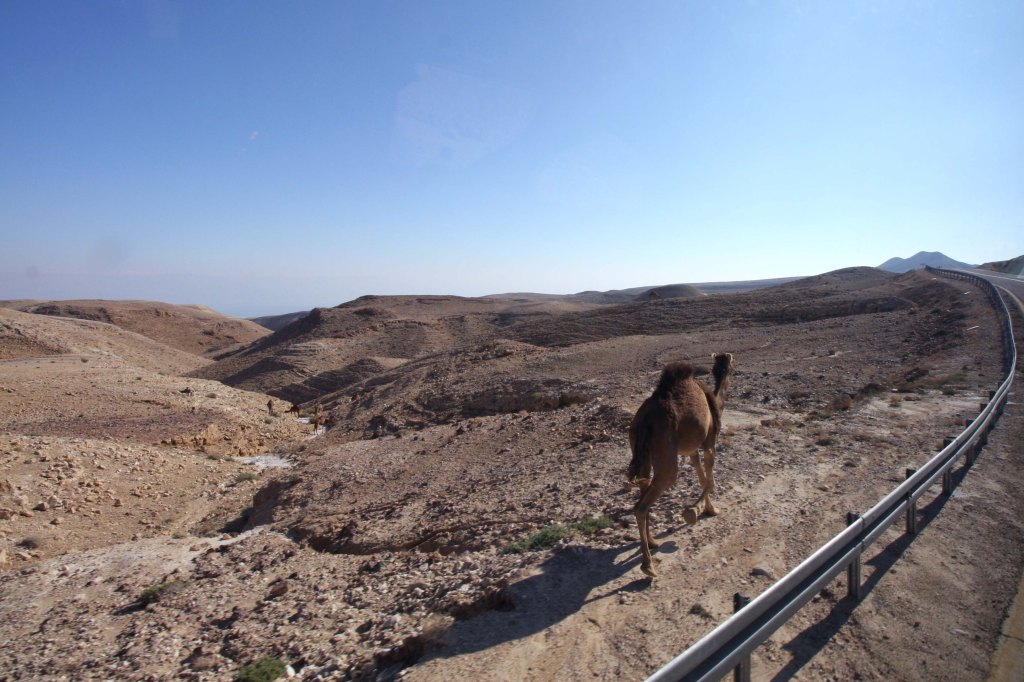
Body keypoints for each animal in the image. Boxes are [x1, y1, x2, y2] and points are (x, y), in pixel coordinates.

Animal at [627, 353, 734, 578]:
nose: (729, 365)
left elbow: (701, 476)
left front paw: (710, 509)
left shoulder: (692, 450)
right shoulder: (710, 442)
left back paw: (652, 542)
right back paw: (648, 566)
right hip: (665, 447)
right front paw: (693, 511)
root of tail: (645, 420)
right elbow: (710, 479)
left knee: (644, 486)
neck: (715, 400)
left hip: (641, 450)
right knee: (644, 504)